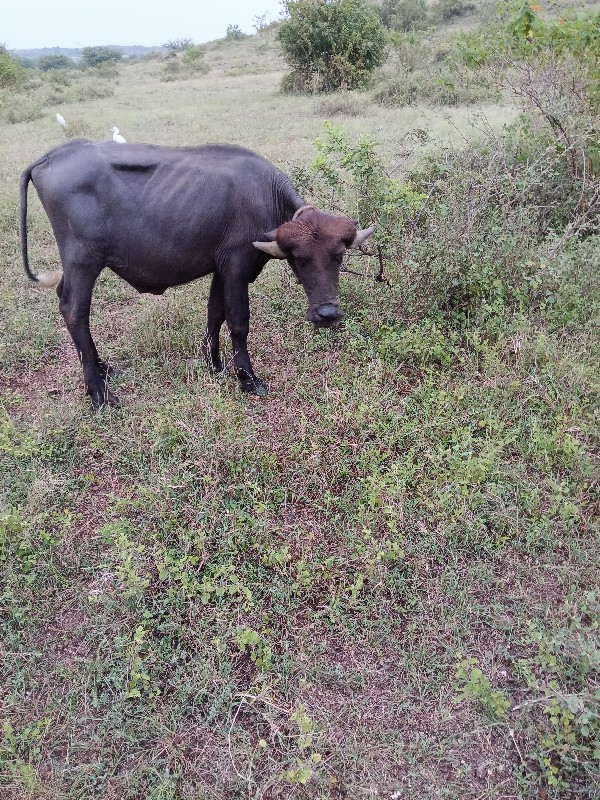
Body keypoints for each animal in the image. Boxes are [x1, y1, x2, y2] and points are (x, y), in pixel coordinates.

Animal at [19, 138, 376, 410]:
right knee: (74, 311)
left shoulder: (220, 268)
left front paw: (214, 364)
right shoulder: (237, 267)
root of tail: (52, 155)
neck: (263, 195)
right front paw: (247, 378)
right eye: (299, 259)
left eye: (339, 256)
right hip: (83, 262)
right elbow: (238, 322)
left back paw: (102, 368)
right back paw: (99, 395)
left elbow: (215, 313)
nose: (327, 313)